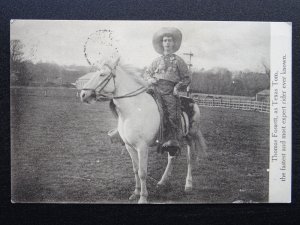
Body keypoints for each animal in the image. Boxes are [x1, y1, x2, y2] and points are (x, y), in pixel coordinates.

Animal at [79, 59, 206, 204]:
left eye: (102, 74)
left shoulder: (142, 147)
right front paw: (135, 193)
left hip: (191, 137)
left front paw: (143, 197)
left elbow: (142, 172)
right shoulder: (129, 146)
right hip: (172, 142)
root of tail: (191, 100)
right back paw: (162, 182)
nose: (83, 94)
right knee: (171, 158)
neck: (134, 109)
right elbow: (135, 170)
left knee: (190, 159)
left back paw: (188, 185)